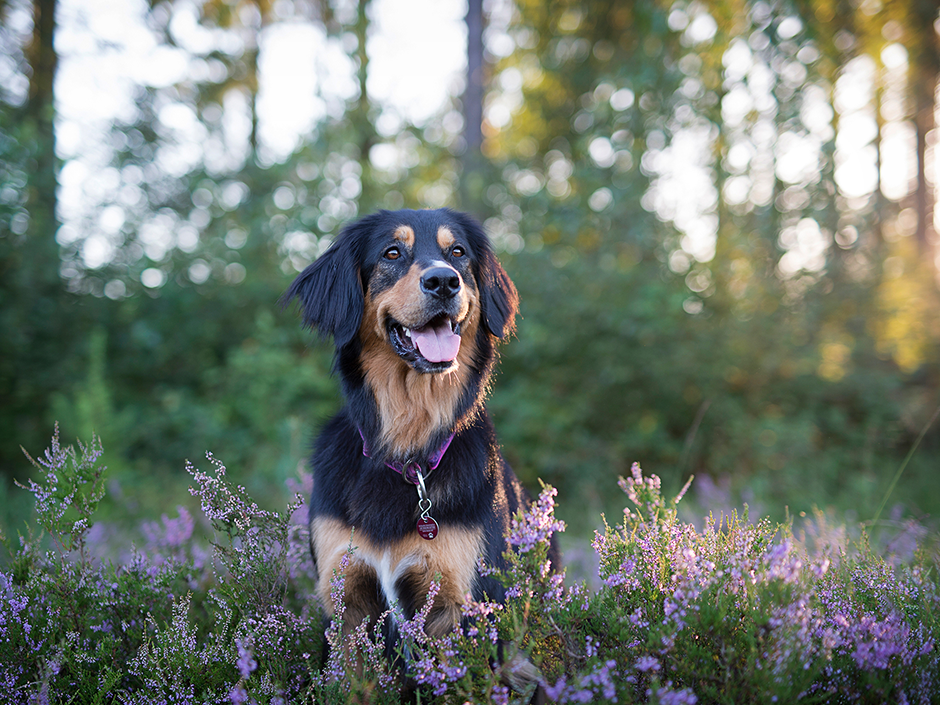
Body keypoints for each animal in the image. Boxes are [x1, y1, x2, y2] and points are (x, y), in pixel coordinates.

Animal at [280, 205, 560, 644]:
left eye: (458, 252)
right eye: (392, 253)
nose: (444, 281)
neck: (407, 446)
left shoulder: (461, 604)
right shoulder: (346, 603)